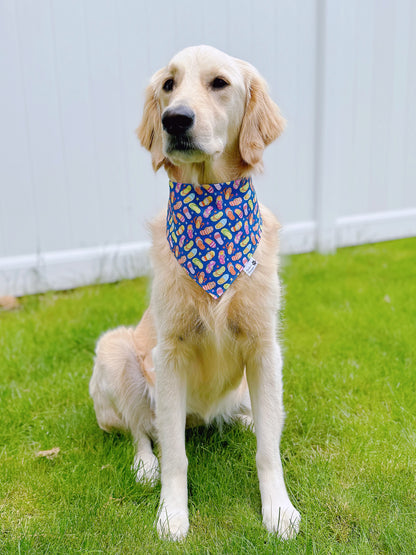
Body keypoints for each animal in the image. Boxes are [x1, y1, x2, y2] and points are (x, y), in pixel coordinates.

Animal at [89, 45, 300, 540]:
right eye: (169, 85)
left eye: (219, 83)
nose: (175, 120)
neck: (211, 209)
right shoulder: (170, 354)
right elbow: (175, 456)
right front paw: (172, 514)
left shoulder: (264, 348)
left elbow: (268, 449)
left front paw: (278, 510)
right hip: (115, 351)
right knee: (142, 431)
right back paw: (144, 465)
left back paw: (245, 419)